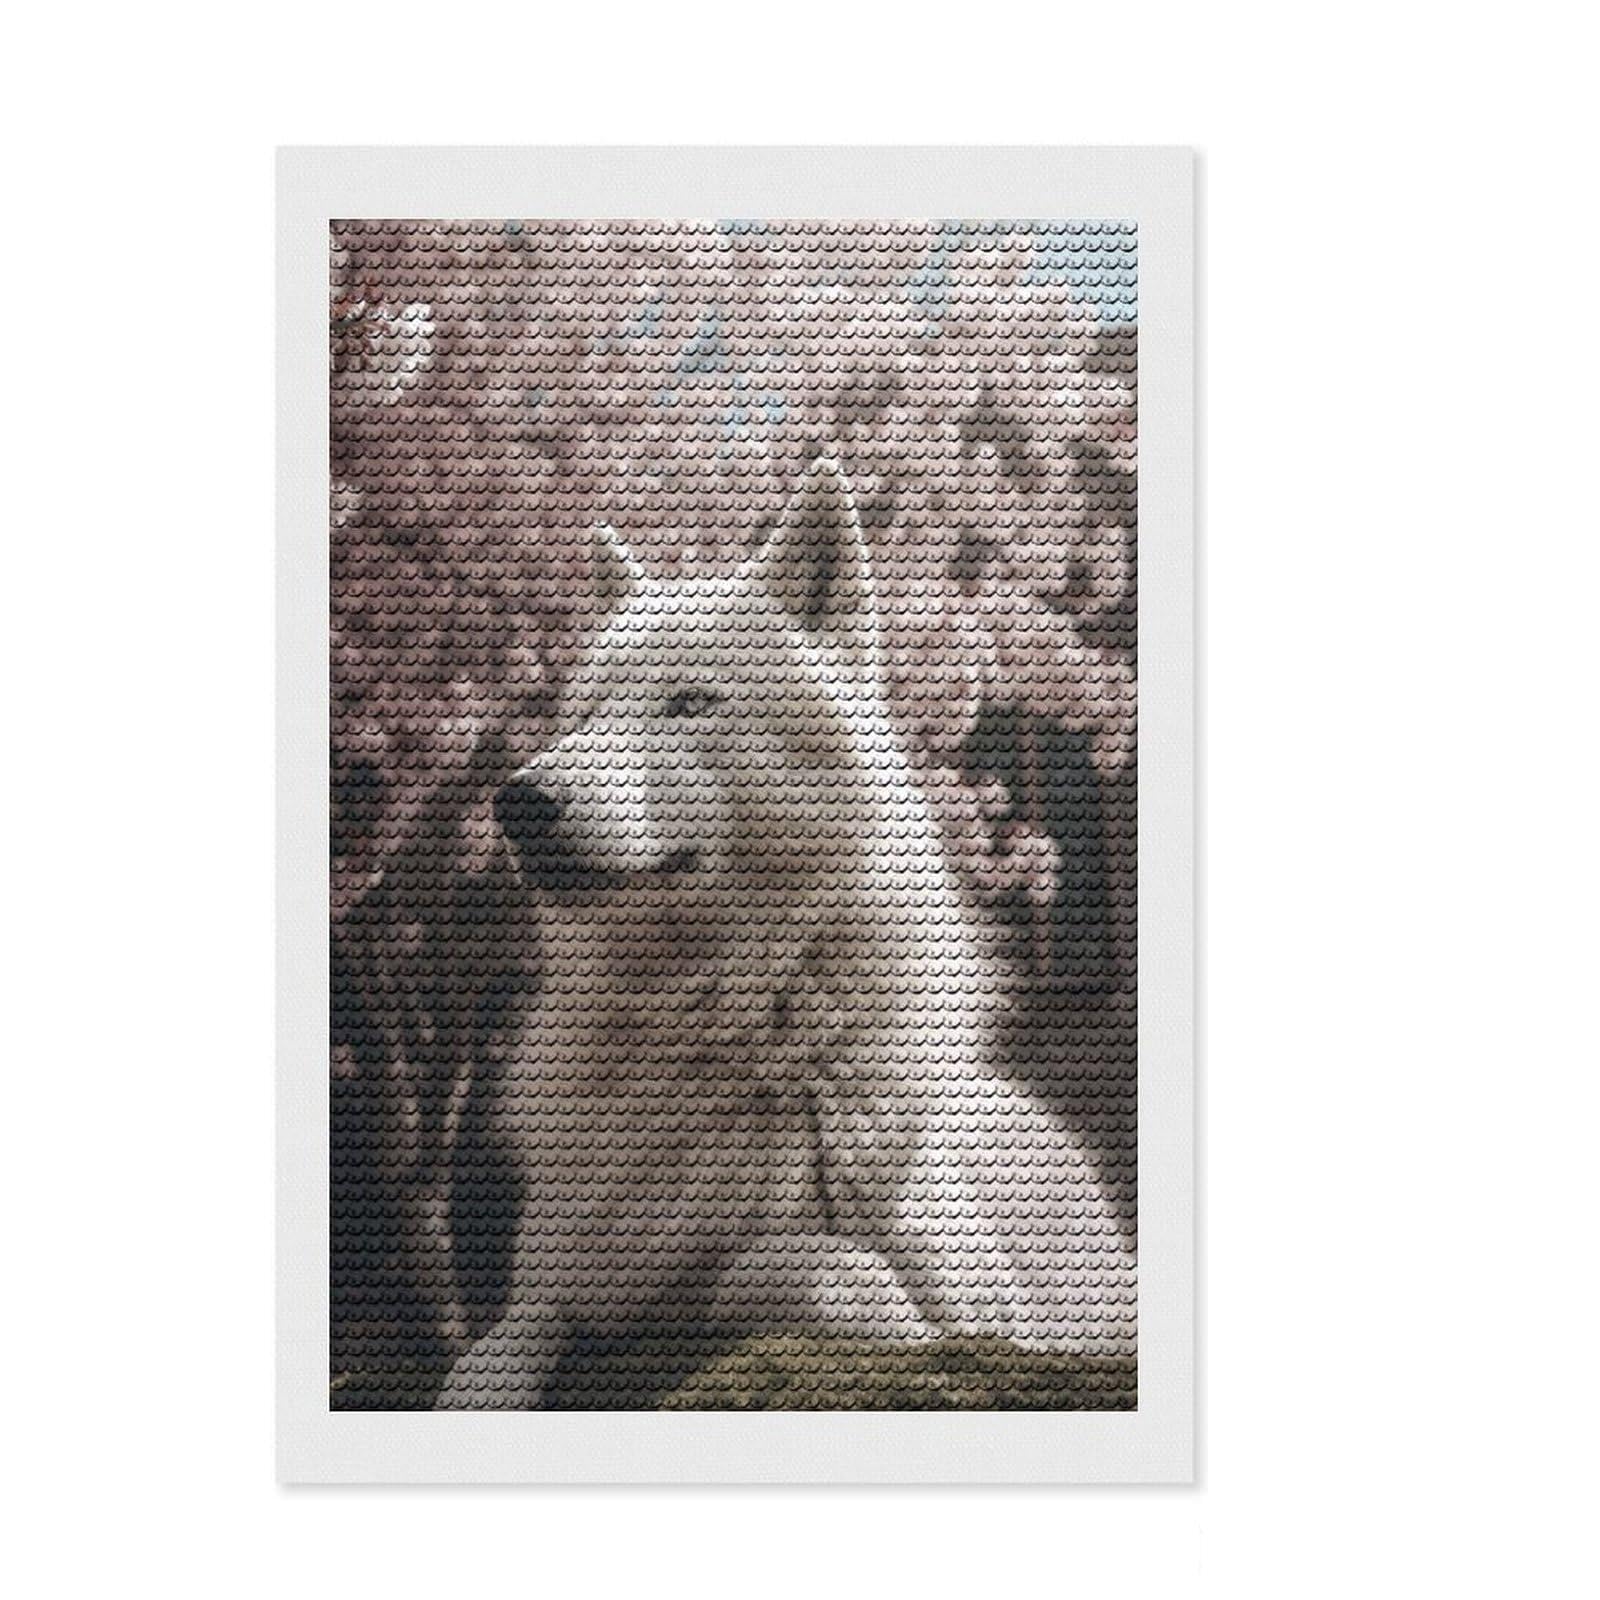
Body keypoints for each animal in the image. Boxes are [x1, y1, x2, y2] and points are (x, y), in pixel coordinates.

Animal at [437, 456, 1135, 1408]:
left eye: (691, 702)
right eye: (583, 715)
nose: (516, 804)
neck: (740, 1035)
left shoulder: (988, 1309)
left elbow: (797, 1268)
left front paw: (889, 1311)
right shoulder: (565, 1271)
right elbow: (502, 1344)